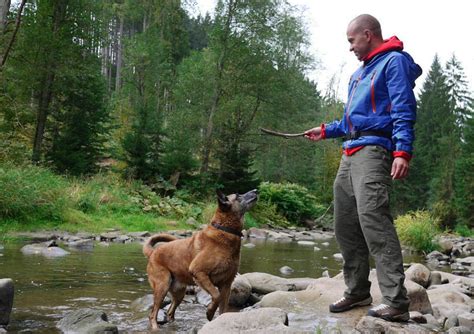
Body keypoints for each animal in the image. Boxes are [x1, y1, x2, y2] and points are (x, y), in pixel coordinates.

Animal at [143, 189, 258, 330]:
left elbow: (223, 309)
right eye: (238, 196)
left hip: (179, 292)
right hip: (162, 286)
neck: (225, 231)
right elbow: (216, 295)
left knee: (170, 311)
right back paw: (155, 327)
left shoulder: (226, 285)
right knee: (152, 313)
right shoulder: (199, 272)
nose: (256, 190)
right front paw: (209, 313)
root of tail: (153, 252)